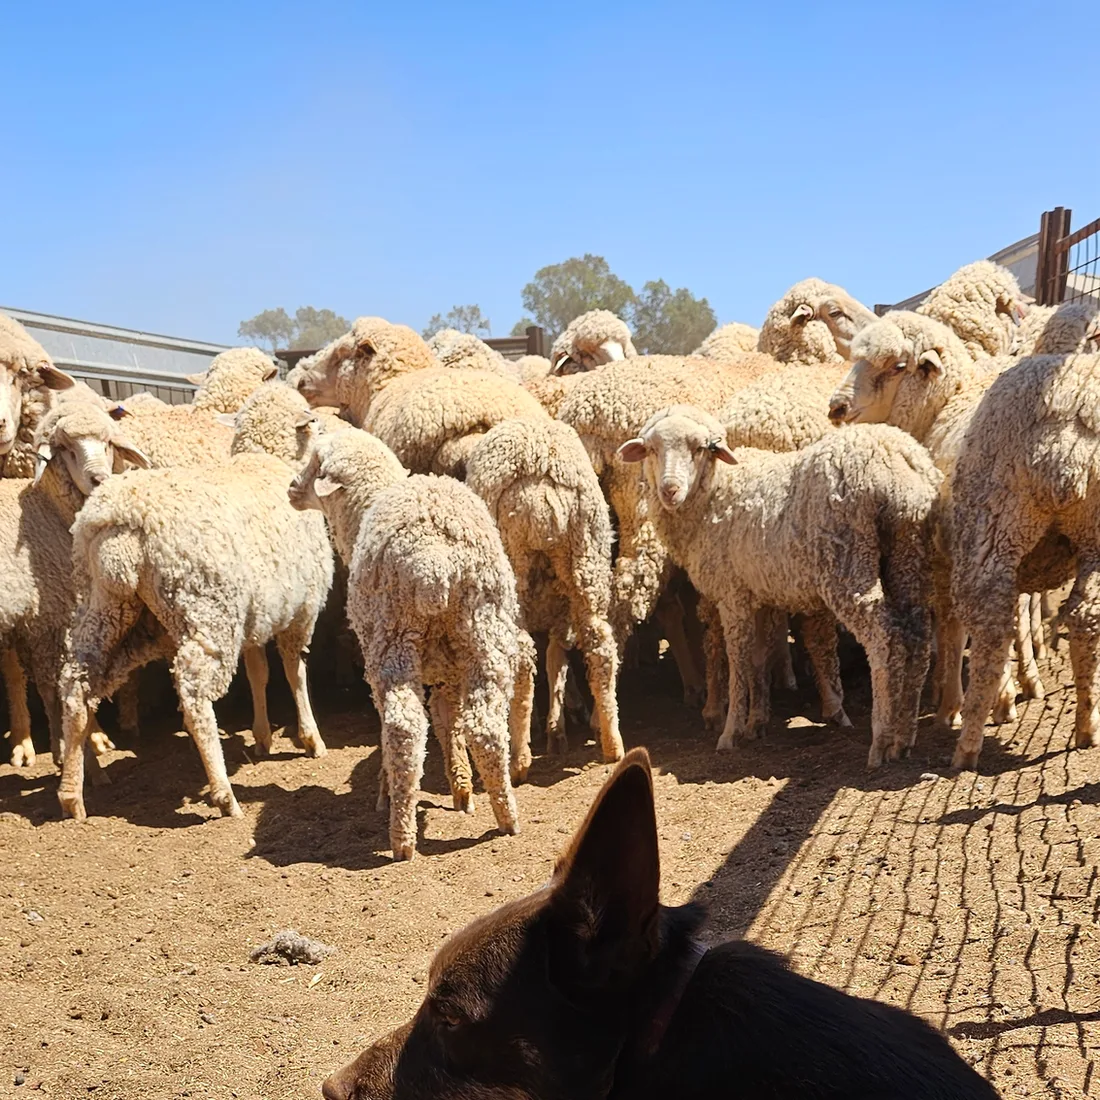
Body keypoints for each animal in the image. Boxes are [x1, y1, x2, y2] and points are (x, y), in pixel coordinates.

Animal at [57, 382, 334, 821]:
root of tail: (123, 519)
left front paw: (262, 736)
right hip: (208, 613)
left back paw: (72, 793)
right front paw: (309, 738)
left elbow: (258, 672)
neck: (264, 459)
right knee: (194, 694)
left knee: (76, 683)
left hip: (104, 607)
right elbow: (294, 673)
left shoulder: (255, 616)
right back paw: (223, 793)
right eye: (313, 419)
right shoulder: (300, 611)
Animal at [288, 430, 533, 860]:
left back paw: (400, 835)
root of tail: (432, 562)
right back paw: (507, 816)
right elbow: (448, 720)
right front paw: (462, 790)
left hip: (392, 641)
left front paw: (390, 790)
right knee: (485, 726)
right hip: (483, 631)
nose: (290, 488)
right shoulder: (449, 670)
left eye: (315, 463)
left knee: (403, 728)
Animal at [466, 417, 623, 763]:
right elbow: (557, 655)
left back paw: (519, 757)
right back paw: (612, 742)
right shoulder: (559, 607)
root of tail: (542, 493)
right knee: (600, 645)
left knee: (523, 655)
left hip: (514, 570)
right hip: (586, 556)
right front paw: (556, 728)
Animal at [618, 406, 940, 767]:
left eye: (699, 448)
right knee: (917, 639)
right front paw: (756, 722)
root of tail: (896, 458)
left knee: (885, 638)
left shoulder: (732, 595)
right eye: (651, 449)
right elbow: (760, 658)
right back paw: (904, 737)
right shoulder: (758, 595)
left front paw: (730, 731)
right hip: (909, 551)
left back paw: (881, 740)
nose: (670, 490)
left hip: (848, 563)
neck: (715, 493)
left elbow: (739, 661)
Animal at [828, 310, 1042, 727]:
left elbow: (952, 624)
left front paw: (953, 703)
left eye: (897, 366)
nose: (836, 408)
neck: (947, 403)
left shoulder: (947, 550)